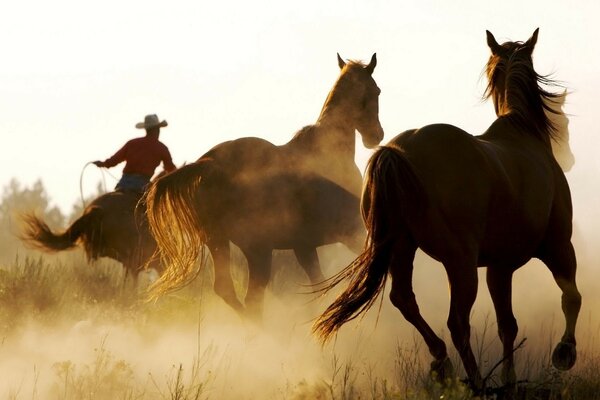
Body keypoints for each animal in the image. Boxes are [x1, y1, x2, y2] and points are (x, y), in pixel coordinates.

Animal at [145, 54, 384, 320]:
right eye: (377, 90)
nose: (376, 135)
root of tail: (208, 164)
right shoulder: (351, 232)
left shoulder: (304, 246)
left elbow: (318, 284)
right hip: (258, 250)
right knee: (251, 299)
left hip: (220, 242)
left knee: (228, 290)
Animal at [314, 29, 580, 392]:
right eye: (562, 121)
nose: (570, 158)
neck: (524, 136)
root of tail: (397, 152)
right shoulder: (558, 247)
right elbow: (571, 298)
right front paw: (564, 352)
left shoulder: (500, 266)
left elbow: (507, 325)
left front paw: (509, 381)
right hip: (460, 262)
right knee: (457, 323)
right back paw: (476, 382)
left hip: (403, 249)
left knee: (406, 301)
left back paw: (442, 363)